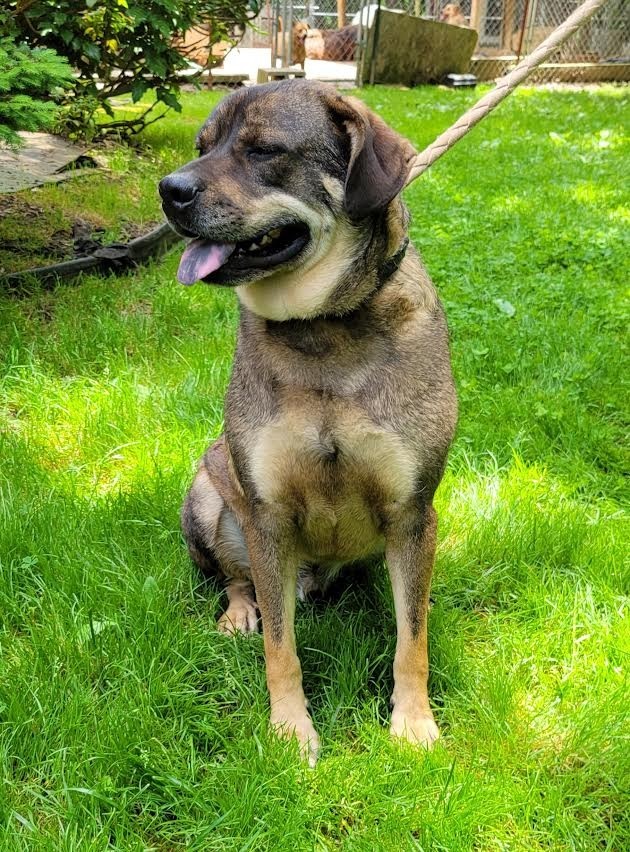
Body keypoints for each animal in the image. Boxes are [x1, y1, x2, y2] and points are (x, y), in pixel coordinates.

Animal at [159, 81, 460, 764]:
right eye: (202, 146)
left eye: (264, 150)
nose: (169, 189)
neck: (321, 330)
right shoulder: (266, 513)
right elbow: (282, 648)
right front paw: (289, 731)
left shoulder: (412, 511)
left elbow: (413, 639)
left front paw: (413, 722)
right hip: (208, 491)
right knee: (239, 580)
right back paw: (239, 612)